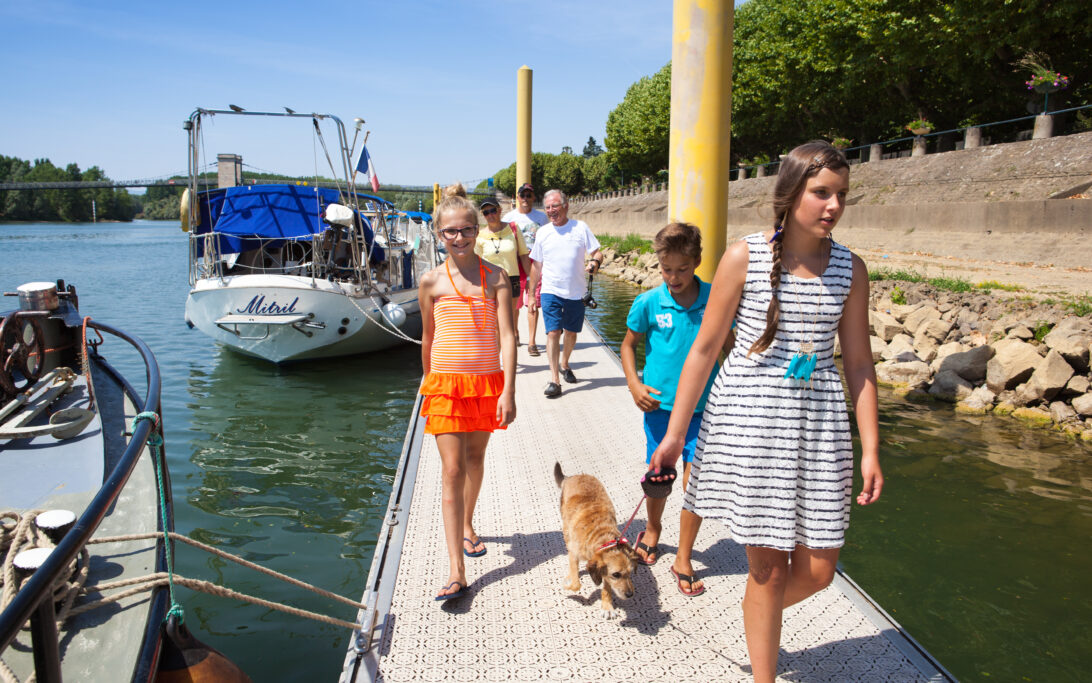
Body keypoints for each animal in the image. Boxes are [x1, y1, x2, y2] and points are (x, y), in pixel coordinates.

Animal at [554, 461, 637, 616]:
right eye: (616, 574)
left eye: (630, 572)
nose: (630, 595)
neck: (603, 539)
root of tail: (573, 476)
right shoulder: (574, 554)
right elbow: (576, 584)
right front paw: (568, 586)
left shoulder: (603, 571)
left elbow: (606, 588)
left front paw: (607, 606)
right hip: (566, 530)